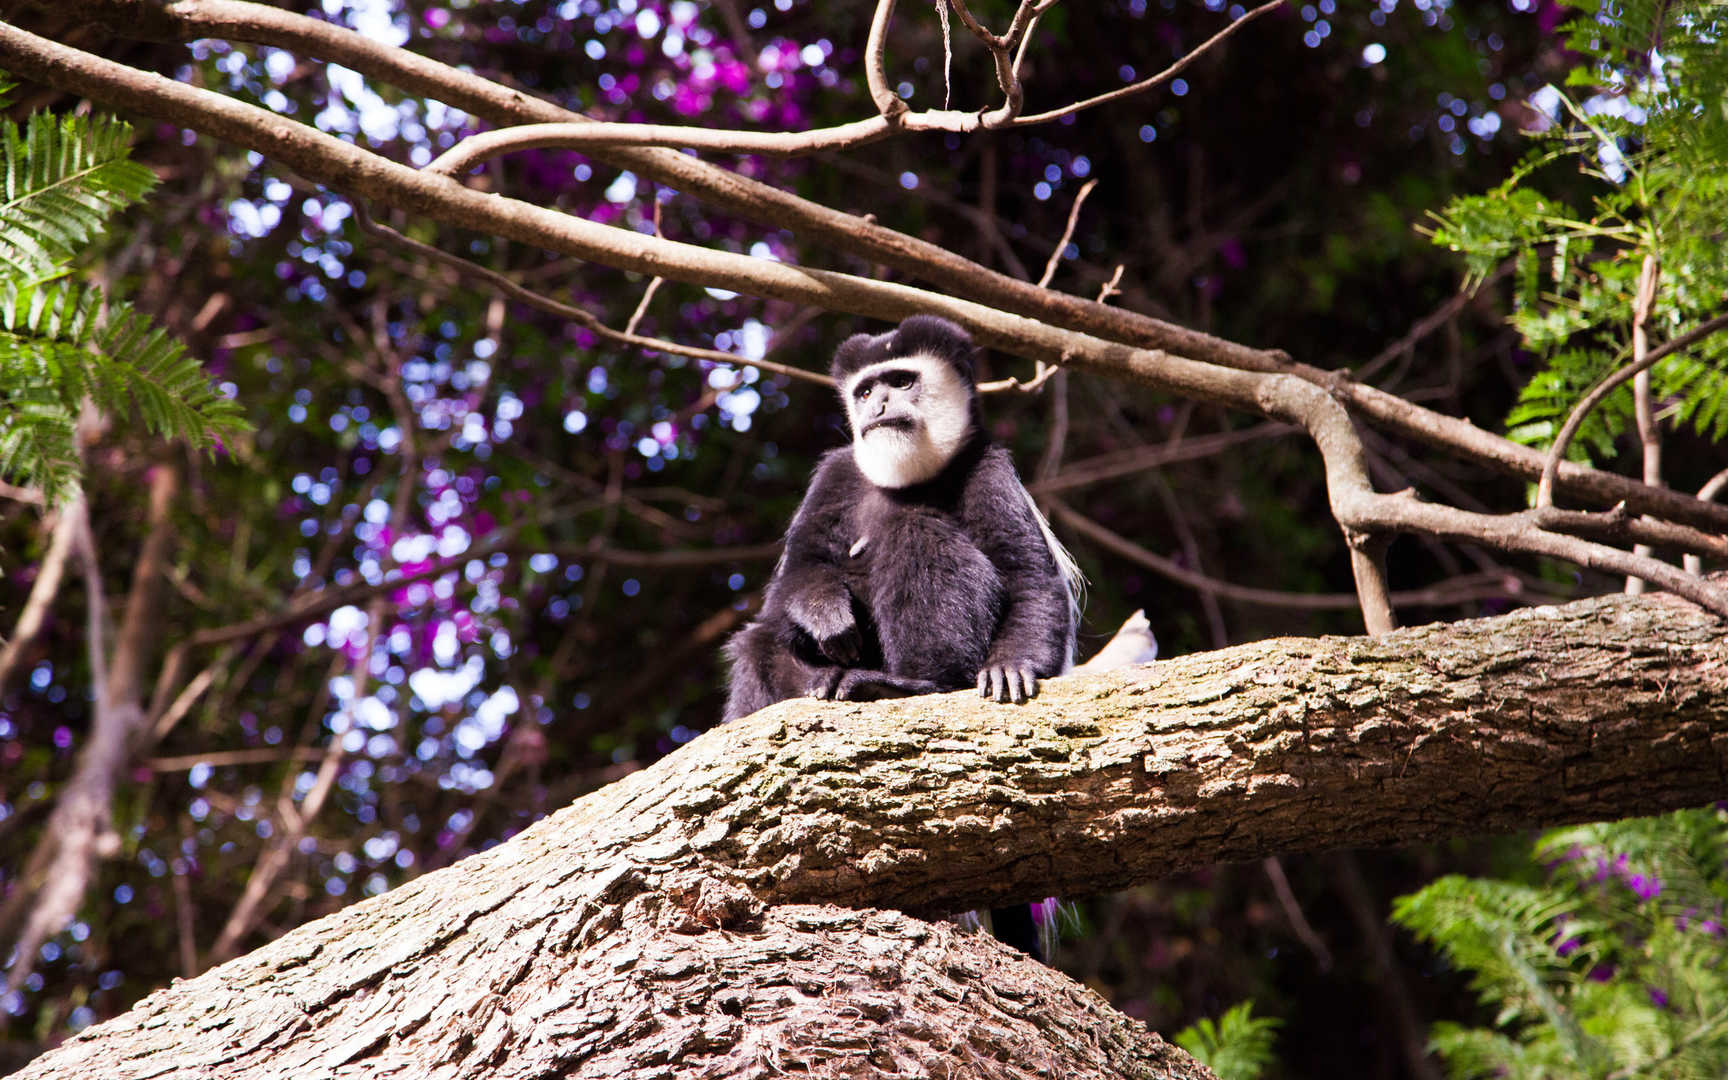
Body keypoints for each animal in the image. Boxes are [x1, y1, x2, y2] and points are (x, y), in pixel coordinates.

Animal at [725, 316, 1078, 729]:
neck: (905, 479)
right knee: (760, 642)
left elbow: (1028, 575)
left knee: (915, 532)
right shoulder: (834, 476)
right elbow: (800, 570)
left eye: (901, 382)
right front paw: (826, 613)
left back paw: (901, 685)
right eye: (865, 392)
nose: (878, 406)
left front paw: (1011, 666)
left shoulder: (990, 471)